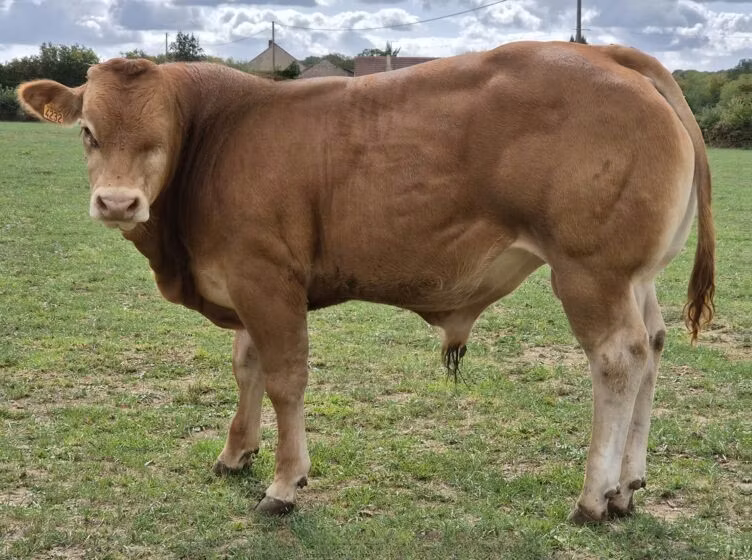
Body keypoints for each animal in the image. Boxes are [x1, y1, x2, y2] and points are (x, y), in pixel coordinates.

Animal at [18, 41, 715, 523]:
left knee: (617, 360)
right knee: (652, 346)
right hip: (635, 277)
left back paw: (594, 497)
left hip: (590, 272)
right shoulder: (243, 281)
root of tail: (608, 54)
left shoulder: (267, 279)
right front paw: (235, 453)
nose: (117, 203)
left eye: (159, 139)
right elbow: (245, 367)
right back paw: (628, 486)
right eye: (87, 132)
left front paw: (283, 483)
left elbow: (284, 378)